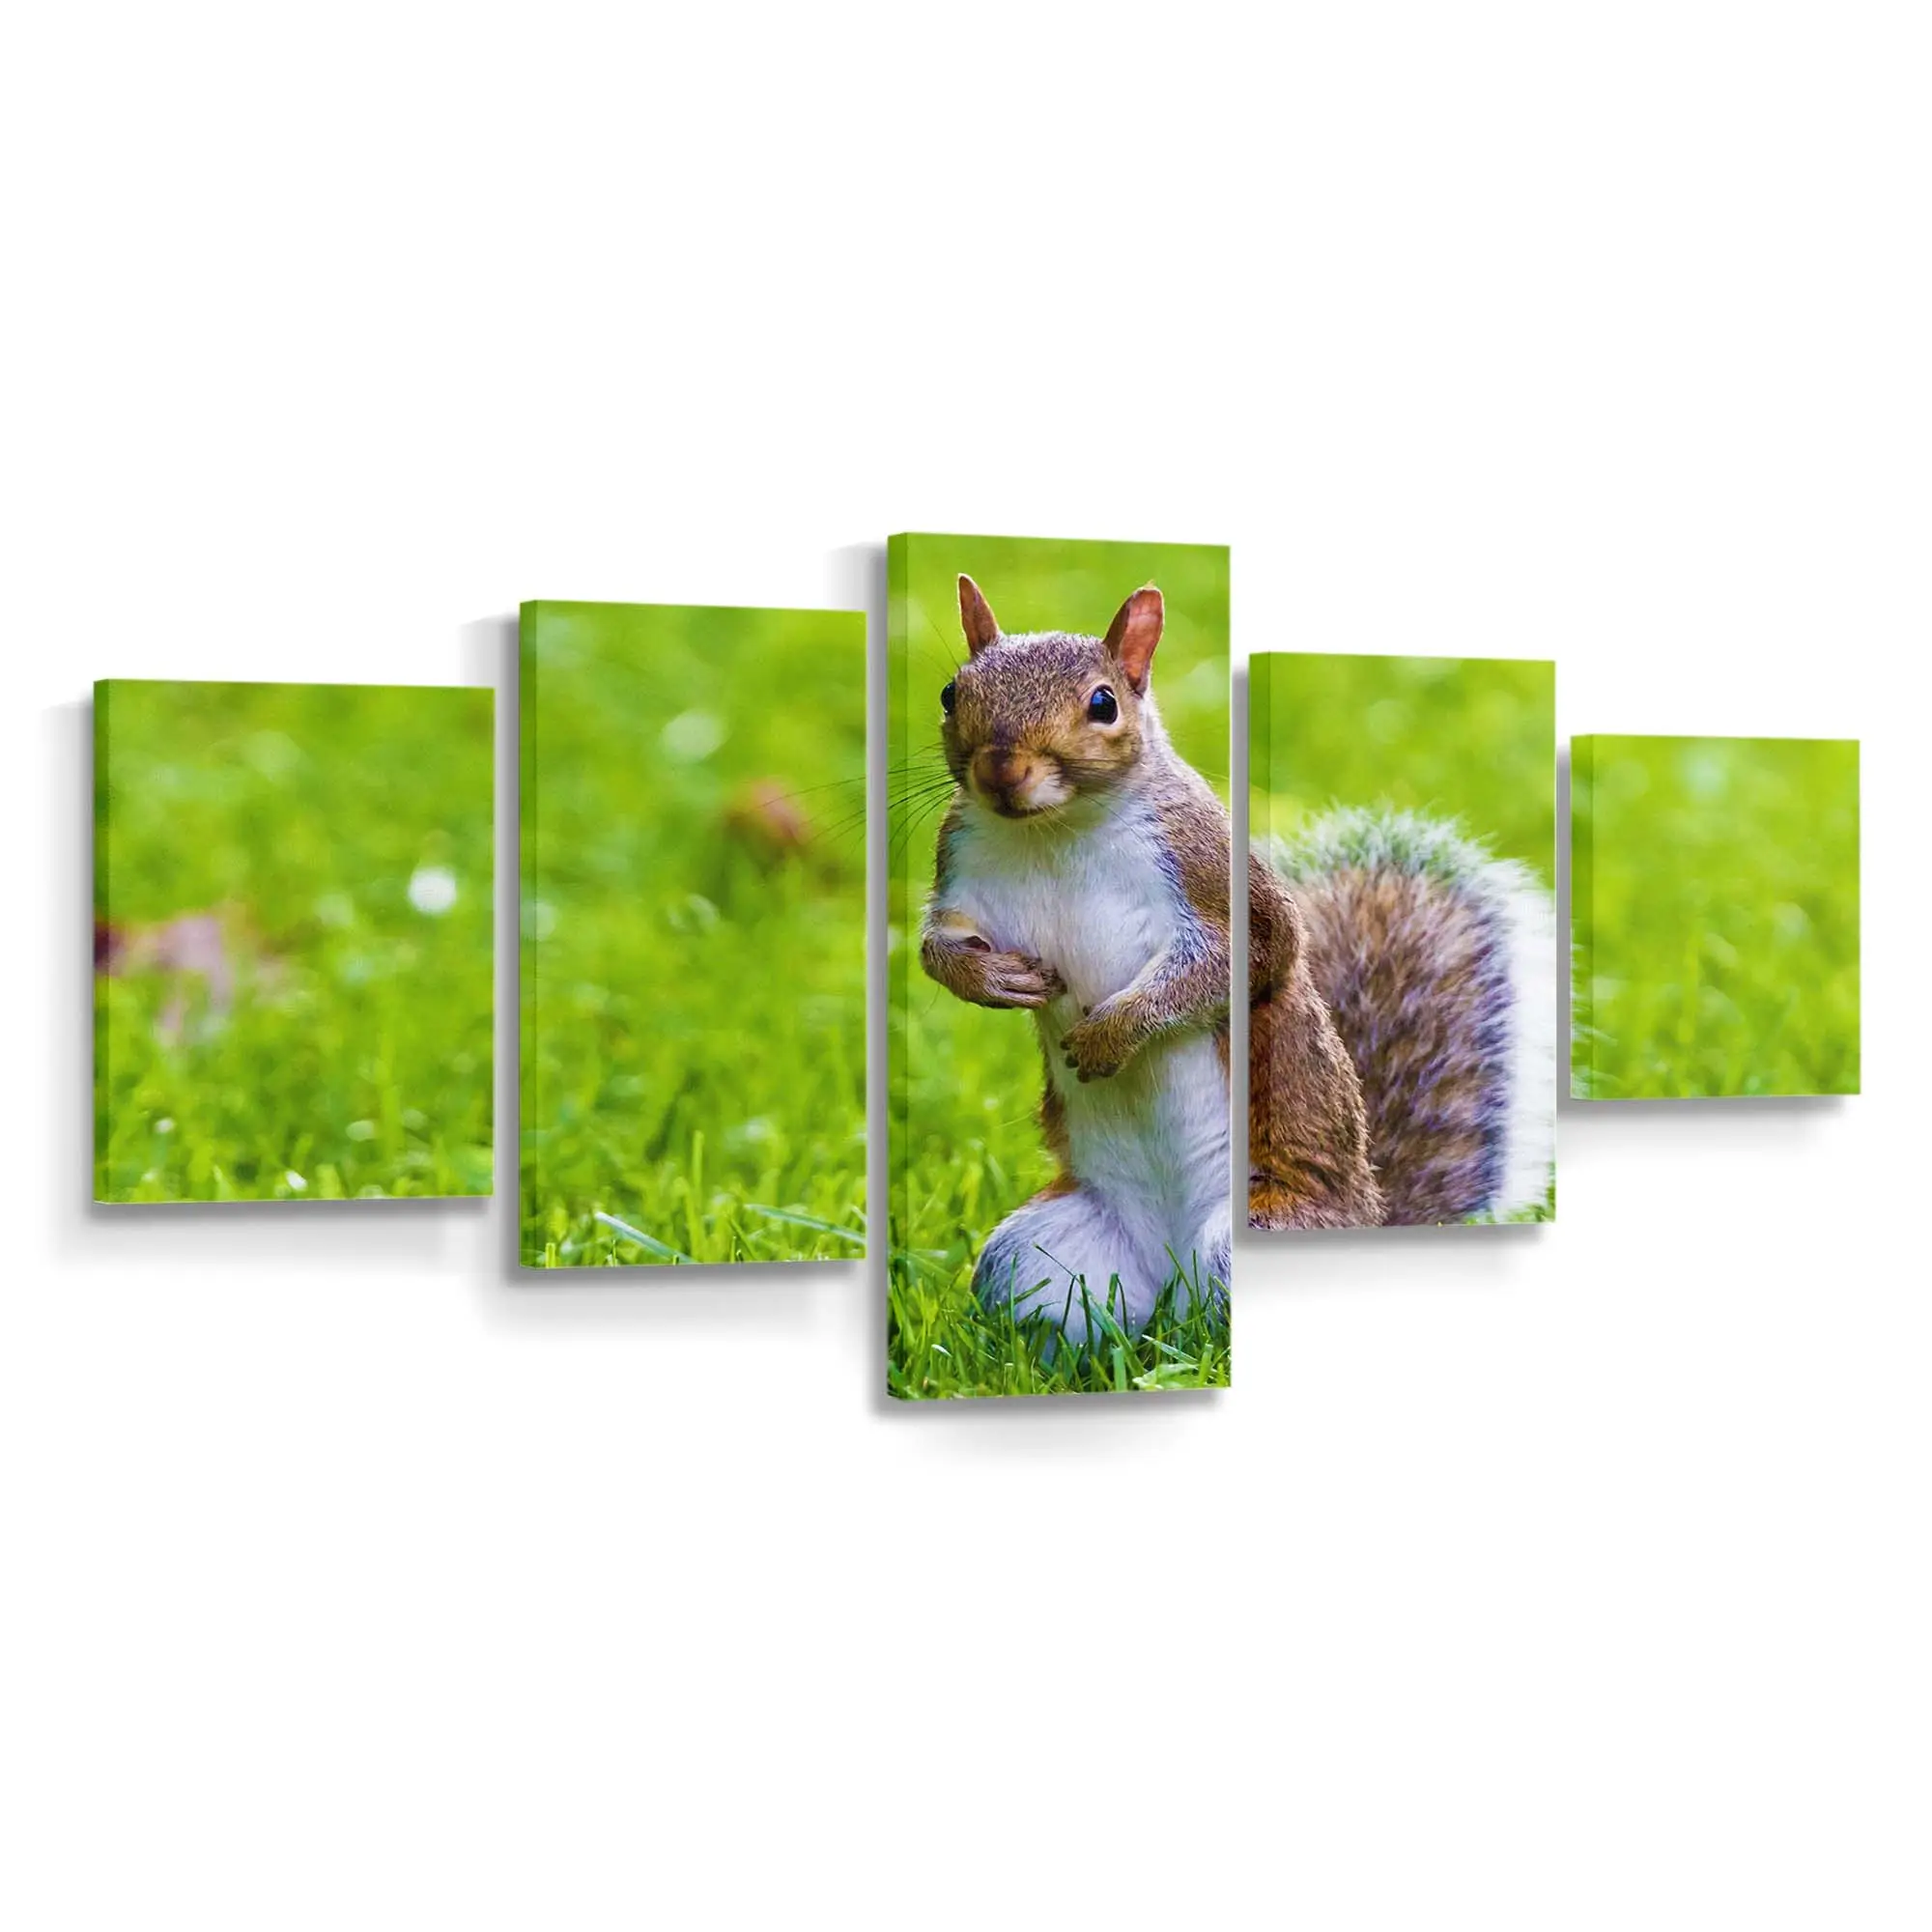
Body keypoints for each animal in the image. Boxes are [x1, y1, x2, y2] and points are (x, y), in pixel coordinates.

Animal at [918, 578, 1555, 1345]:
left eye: (1103, 703)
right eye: (951, 692)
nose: (999, 770)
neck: (1054, 831)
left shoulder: (1212, 870)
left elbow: (1249, 961)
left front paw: (1112, 1033)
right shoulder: (960, 868)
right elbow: (936, 948)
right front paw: (991, 980)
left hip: (1253, 1232)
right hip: (1035, 1257)